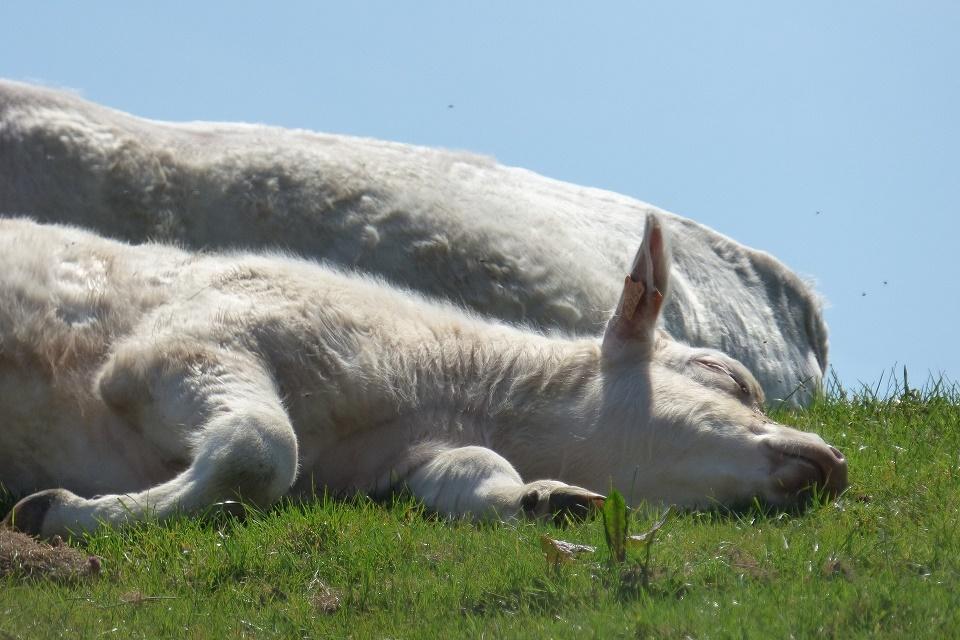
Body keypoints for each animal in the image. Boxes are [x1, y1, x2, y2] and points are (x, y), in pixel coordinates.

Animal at [1, 216, 848, 540]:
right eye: (724, 376)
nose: (835, 460)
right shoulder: (174, 348)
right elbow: (258, 446)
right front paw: (63, 512)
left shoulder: (402, 462)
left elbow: (473, 474)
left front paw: (544, 498)